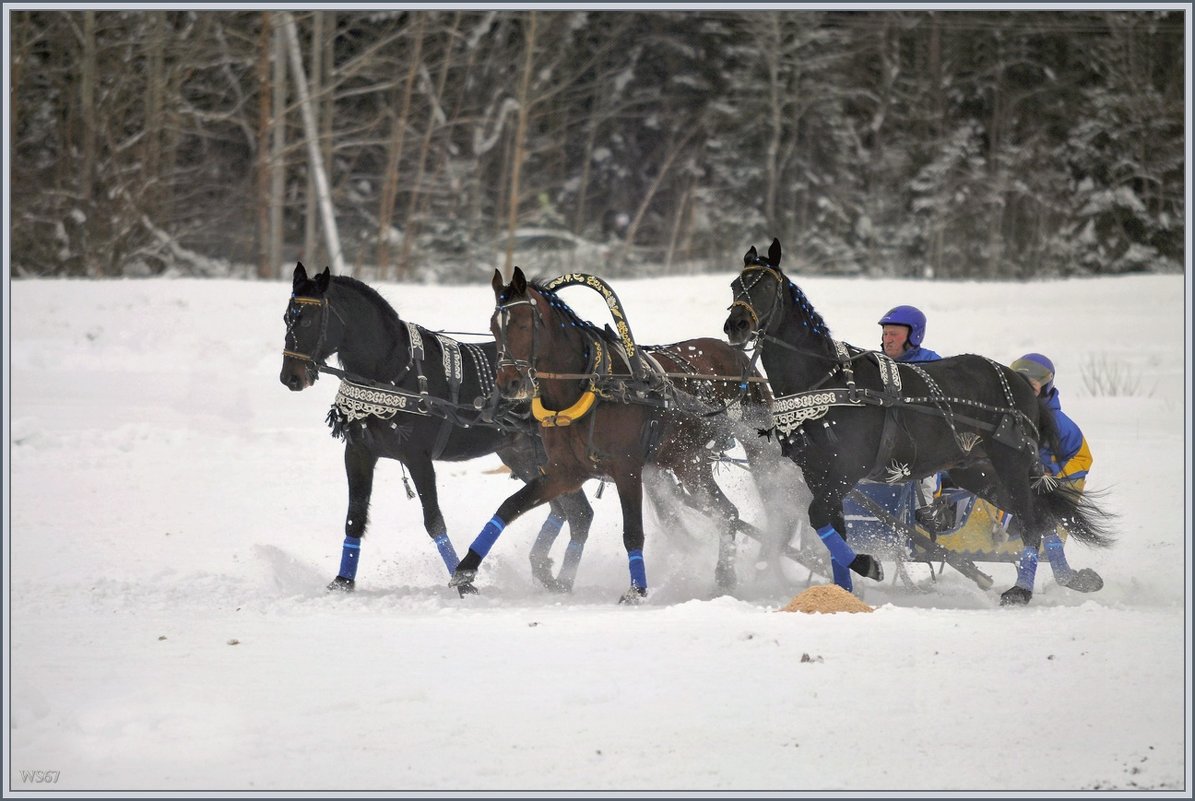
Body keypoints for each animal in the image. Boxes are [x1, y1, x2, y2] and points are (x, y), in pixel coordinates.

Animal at [280, 265, 597, 595]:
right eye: (287, 317)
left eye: (309, 319)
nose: (290, 377)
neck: (391, 373)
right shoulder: (358, 453)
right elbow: (354, 517)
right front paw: (342, 581)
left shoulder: (417, 457)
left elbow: (433, 520)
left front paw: (464, 584)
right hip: (524, 456)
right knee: (571, 512)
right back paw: (549, 574)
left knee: (577, 513)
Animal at [446, 267, 774, 602]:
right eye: (493, 327)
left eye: (524, 323)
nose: (507, 384)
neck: (590, 384)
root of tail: (737, 357)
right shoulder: (563, 473)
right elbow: (510, 506)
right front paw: (466, 569)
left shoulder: (626, 469)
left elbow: (633, 531)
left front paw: (636, 589)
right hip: (687, 461)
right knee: (728, 513)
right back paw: (725, 577)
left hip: (724, 450)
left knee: (741, 502)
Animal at [721, 241, 1113, 604]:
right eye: (735, 285)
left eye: (765, 286)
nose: (735, 325)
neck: (826, 380)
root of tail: (1019, 384)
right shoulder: (817, 473)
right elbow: (830, 528)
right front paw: (843, 591)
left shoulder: (845, 471)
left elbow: (817, 516)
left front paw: (867, 564)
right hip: (979, 470)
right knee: (1041, 516)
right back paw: (1070, 578)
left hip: (1012, 461)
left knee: (1032, 521)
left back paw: (1021, 590)